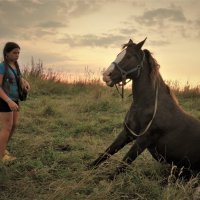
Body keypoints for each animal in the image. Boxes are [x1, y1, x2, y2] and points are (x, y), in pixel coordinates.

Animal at [89, 38, 200, 179]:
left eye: (129, 57)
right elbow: (107, 152)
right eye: (118, 54)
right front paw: (87, 169)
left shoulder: (144, 140)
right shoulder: (127, 133)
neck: (146, 106)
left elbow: (123, 164)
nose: (106, 75)